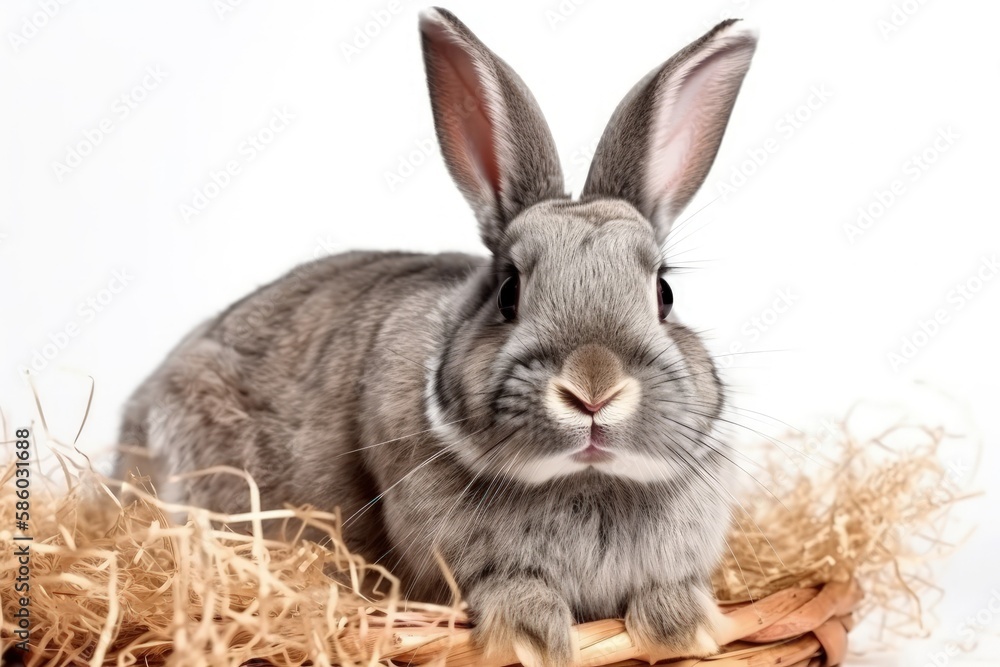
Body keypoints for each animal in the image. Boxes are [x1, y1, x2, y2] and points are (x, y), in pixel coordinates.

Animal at [115, 7, 756, 664]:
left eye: (664, 293)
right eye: (508, 292)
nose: (593, 388)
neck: (585, 477)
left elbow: (666, 588)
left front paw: (686, 627)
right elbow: (510, 585)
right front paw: (530, 638)